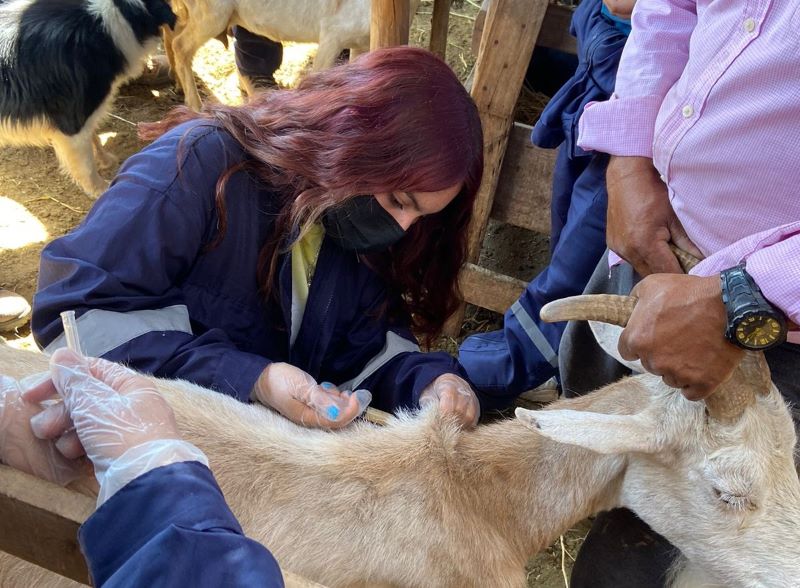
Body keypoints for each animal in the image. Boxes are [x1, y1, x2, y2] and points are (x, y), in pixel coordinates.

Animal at [0, 0, 176, 199]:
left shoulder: (87, 112)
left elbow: (94, 137)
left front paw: (105, 159)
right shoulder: (72, 124)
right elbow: (87, 167)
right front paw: (102, 190)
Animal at [165, 0, 422, 110]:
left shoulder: (360, 42)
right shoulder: (332, 35)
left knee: (171, 32)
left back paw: (178, 85)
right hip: (212, 14)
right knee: (180, 45)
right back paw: (195, 107)